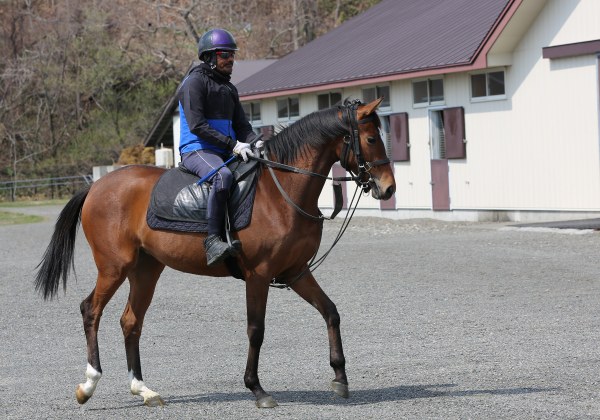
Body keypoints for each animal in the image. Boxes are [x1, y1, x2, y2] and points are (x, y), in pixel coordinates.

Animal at [34, 97, 396, 408]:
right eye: (371, 138)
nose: (388, 187)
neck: (281, 192)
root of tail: (97, 186)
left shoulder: (296, 271)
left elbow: (331, 312)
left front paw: (340, 377)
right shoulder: (259, 275)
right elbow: (256, 330)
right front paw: (256, 388)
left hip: (146, 269)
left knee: (130, 322)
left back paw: (143, 390)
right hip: (114, 267)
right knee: (91, 310)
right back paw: (89, 384)